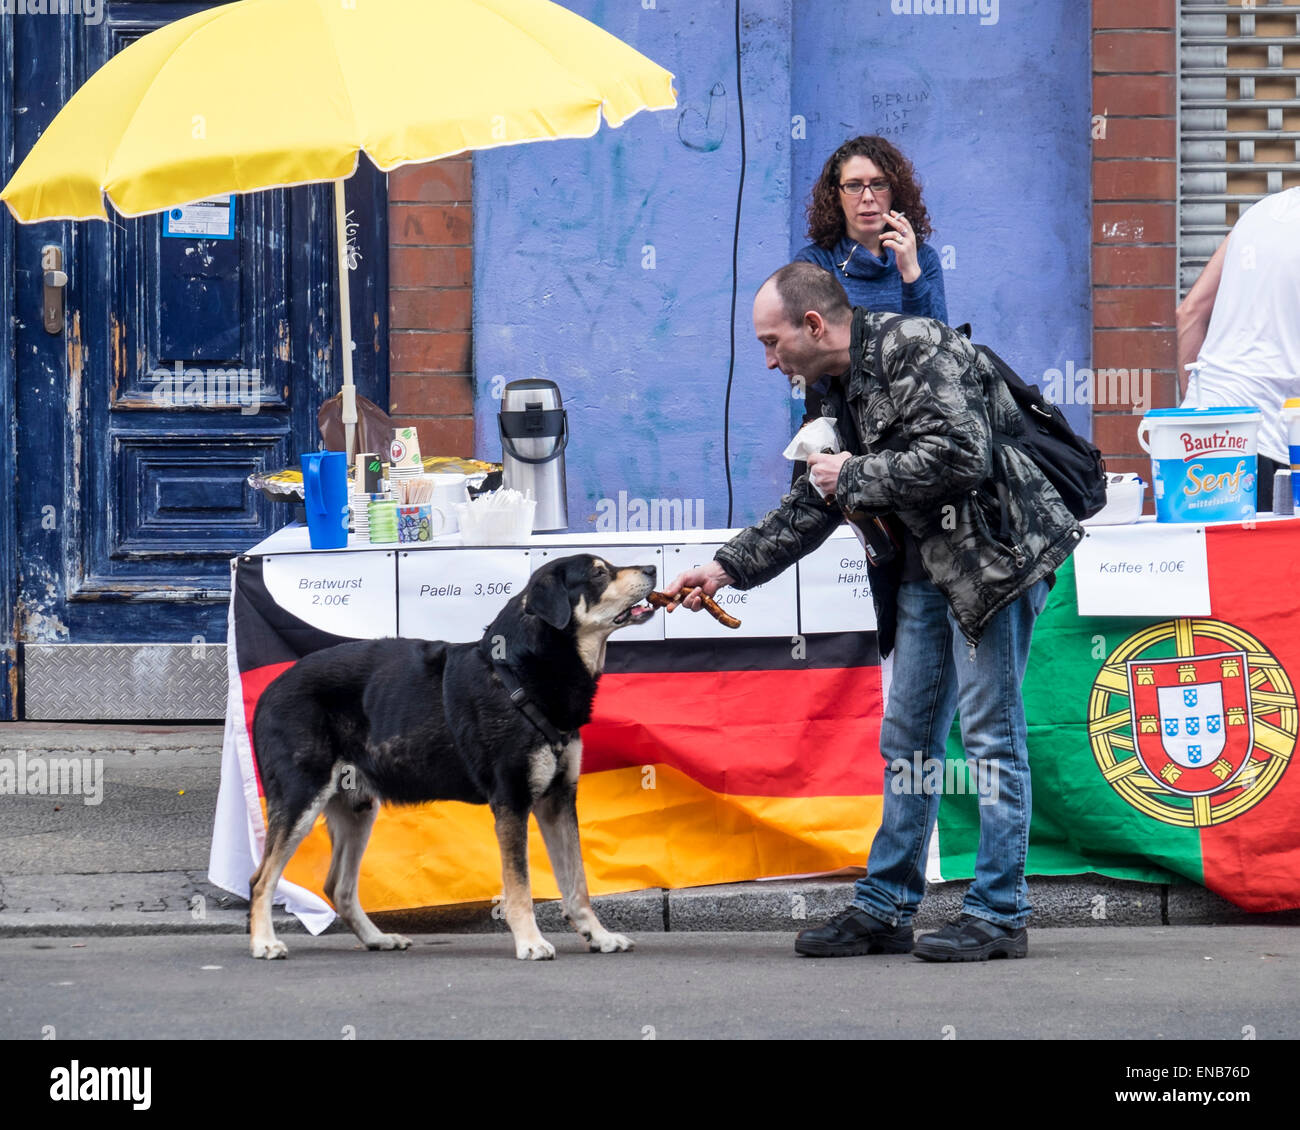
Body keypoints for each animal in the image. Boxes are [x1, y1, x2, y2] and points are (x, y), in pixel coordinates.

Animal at [248, 551, 655, 957]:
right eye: (599, 574)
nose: (652, 568)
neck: (518, 673)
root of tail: (269, 690)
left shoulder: (558, 799)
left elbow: (577, 882)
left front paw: (599, 936)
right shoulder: (512, 801)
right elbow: (519, 885)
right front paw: (530, 941)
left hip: (357, 809)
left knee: (339, 887)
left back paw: (378, 938)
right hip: (302, 798)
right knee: (261, 880)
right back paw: (264, 942)